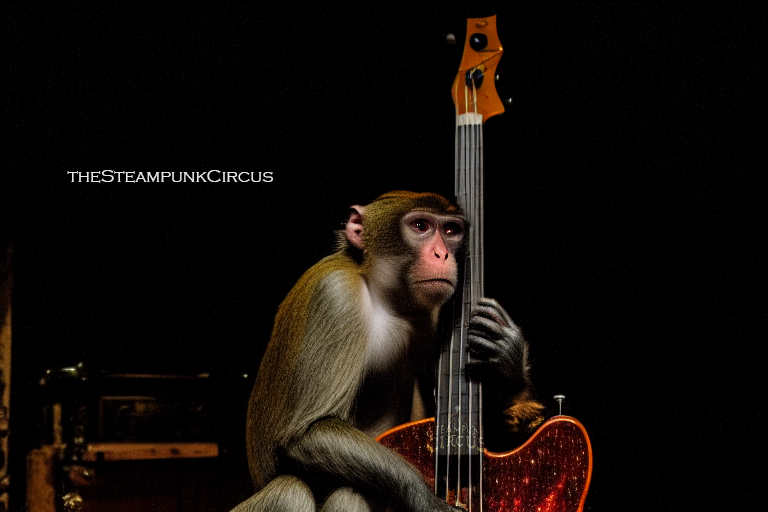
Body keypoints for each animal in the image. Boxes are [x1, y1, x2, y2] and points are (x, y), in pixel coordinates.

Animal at [231, 191, 545, 512]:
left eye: (451, 230)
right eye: (420, 226)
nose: (442, 255)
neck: (382, 295)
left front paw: (507, 359)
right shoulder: (335, 295)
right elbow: (308, 432)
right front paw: (428, 501)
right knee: (297, 489)